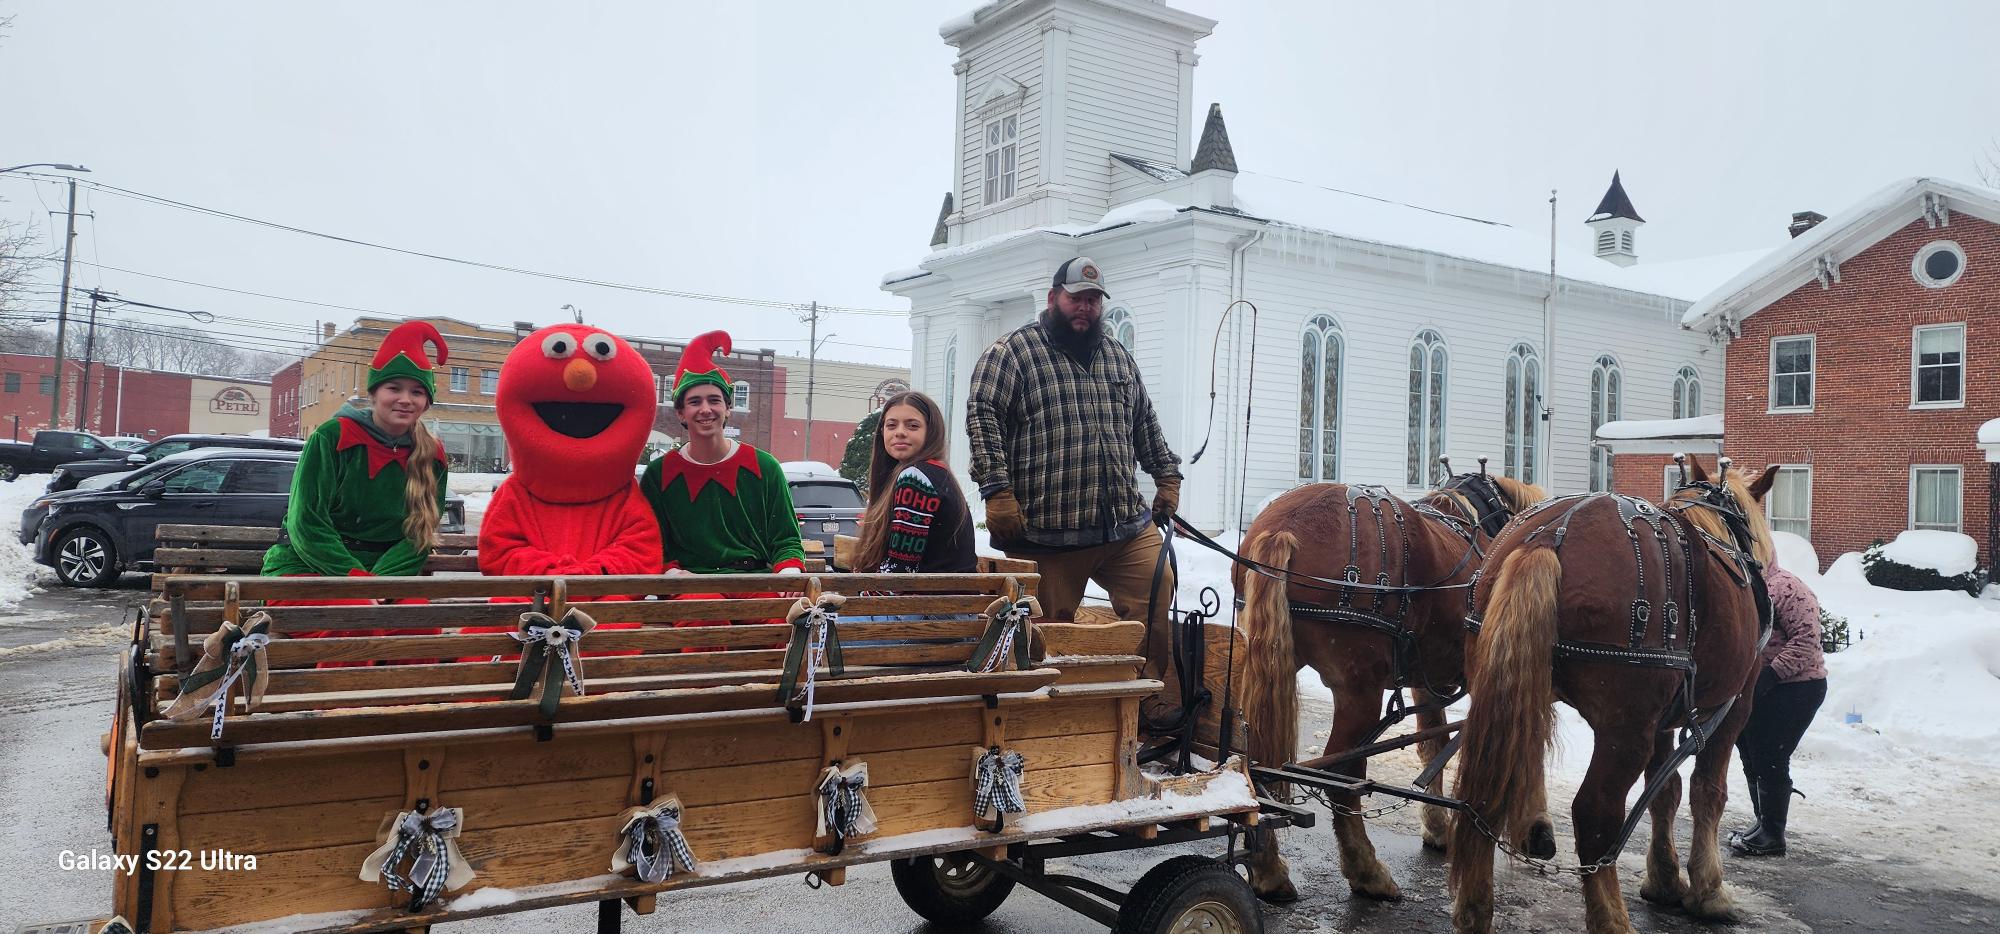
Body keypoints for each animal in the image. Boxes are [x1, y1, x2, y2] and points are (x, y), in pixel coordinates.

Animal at [1232, 472, 1544, 904]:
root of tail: (1281, 530)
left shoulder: (1428, 684)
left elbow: (1431, 742)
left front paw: (1437, 827)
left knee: (1256, 764)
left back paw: (1268, 872)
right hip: (1358, 693)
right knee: (1342, 777)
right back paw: (1367, 872)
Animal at [1448, 462, 1776, 934]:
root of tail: (1548, 539)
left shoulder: (1664, 718)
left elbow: (1665, 793)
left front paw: (1664, 879)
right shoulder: (1732, 706)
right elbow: (1707, 792)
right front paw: (1708, 891)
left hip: (1503, 694)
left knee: (1487, 793)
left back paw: (1474, 908)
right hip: (1626, 728)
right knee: (1594, 815)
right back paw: (1611, 918)